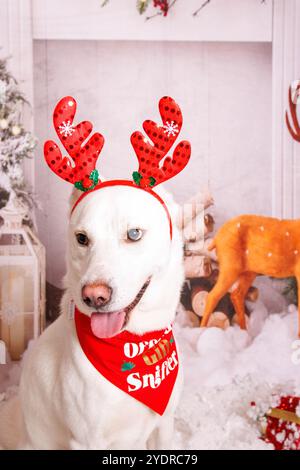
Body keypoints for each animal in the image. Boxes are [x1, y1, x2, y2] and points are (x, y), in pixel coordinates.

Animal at [0, 182, 183, 450]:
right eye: (82, 238)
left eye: (134, 234)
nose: (95, 296)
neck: (130, 345)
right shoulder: (86, 440)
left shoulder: (164, 425)